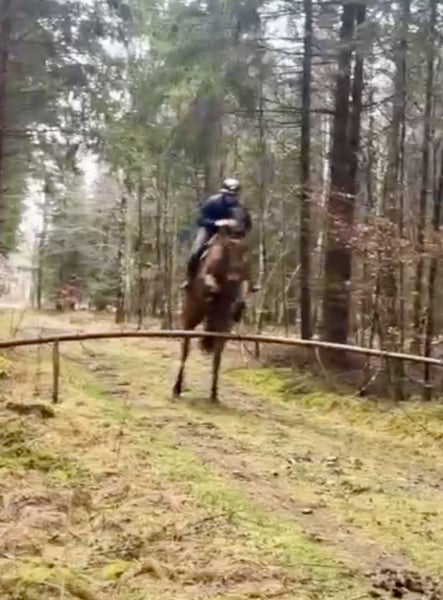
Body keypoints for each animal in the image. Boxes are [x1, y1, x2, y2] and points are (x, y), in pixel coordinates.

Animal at [173, 219, 249, 402]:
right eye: (228, 247)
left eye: (245, 249)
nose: (234, 276)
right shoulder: (206, 277)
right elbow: (209, 283)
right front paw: (212, 293)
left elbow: (240, 294)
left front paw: (238, 306)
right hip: (191, 317)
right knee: (185, 350)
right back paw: (177, 387)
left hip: (222, 330)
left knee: (217, 358)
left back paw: (214, 393)